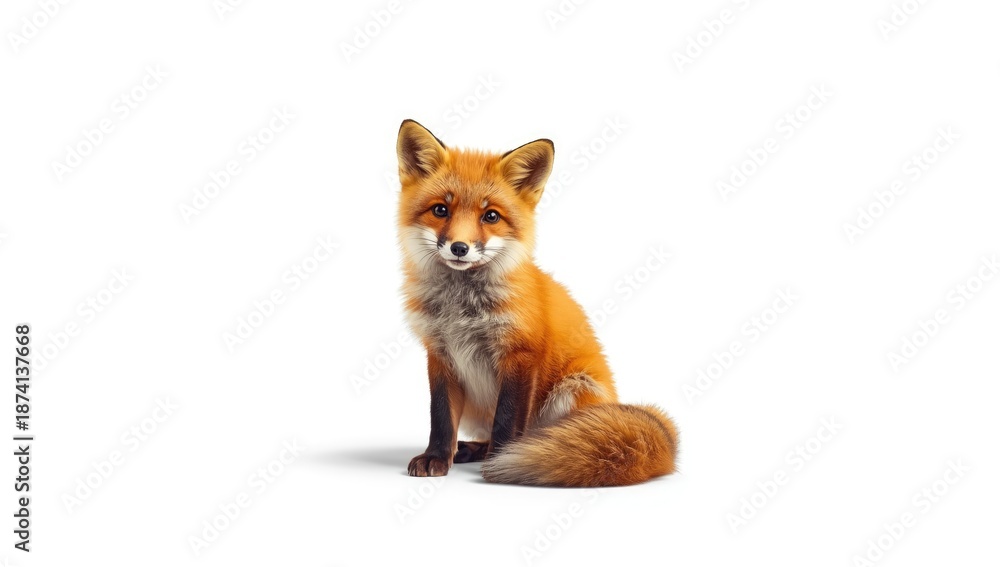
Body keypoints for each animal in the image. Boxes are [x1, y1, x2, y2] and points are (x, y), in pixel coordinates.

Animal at [395, 119, 678, 487]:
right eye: (440, 210)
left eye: (491, 216)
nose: (459, 248)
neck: (463, 307)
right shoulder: (440, 353)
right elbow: (441, 417)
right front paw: (437, 458)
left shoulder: (520, 353)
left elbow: (507, 418)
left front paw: (500, 461)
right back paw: (474, 449)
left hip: (570, 391)